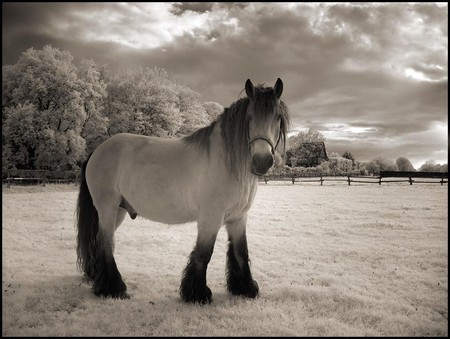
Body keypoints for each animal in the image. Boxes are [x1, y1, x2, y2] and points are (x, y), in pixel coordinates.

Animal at [75, 77, 290, 306]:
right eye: (250, 118)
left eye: (277, 117)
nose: (262, 161)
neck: (226, 162)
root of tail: (97, 151)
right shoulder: (210, 218)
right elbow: (204, 253)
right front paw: (197, 294)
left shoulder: (238, 218)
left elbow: (240, 252)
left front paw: (245, 288)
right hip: (107, 207)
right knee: (105, 243)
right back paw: (112, 288)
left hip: (118, 211)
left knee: (100, 243)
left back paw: (97, 277)